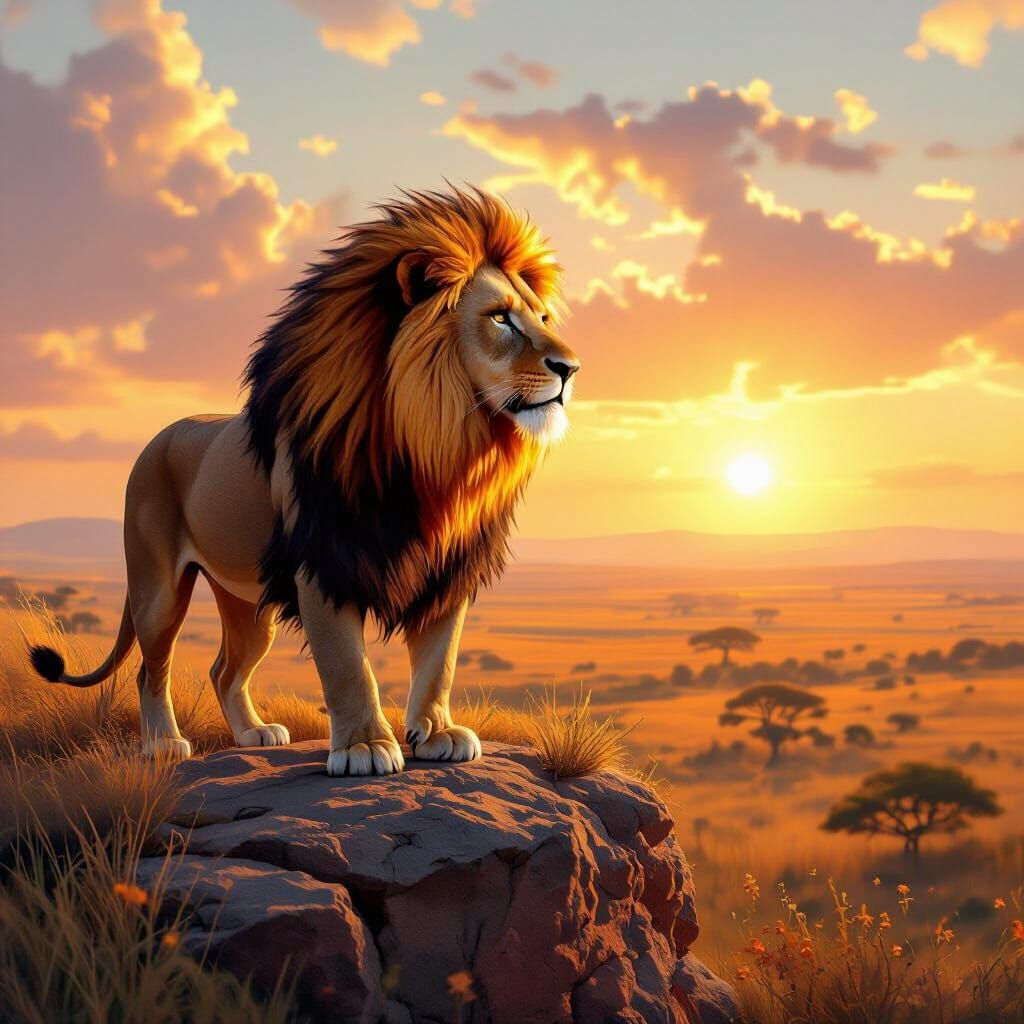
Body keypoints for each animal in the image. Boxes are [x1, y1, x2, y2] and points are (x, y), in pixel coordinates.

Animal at [29, 187, 579, 777]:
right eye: (501, 319)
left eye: (543, 316)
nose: (571, 367)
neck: (437, 449)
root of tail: (159, 436)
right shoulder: (323, 564)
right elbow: (347, 666)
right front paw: (364, 747)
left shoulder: (446, 570)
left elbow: (440, 662)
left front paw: (436, 733)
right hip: (157, 590)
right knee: (150, 669)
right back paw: (162, 744)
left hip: (248, 604)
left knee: (224, 669)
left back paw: (254, 734)